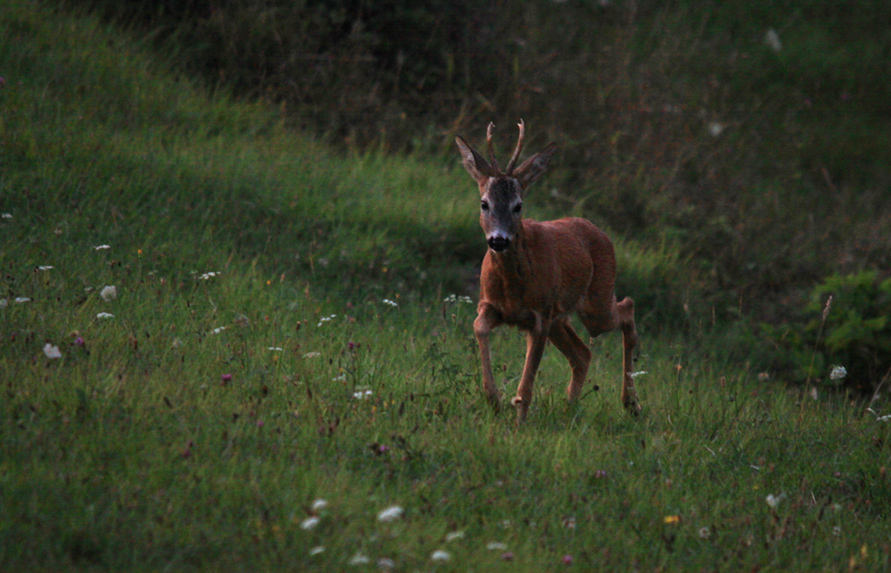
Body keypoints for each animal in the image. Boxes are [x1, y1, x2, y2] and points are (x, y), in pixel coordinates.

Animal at [452, 120, 640, 422]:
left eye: (518, 205)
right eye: (484, 203)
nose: (499, 240)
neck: (513, 287)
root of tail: (600, 232)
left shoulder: (539, 316)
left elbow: (527, 383)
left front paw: (519, 422)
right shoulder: (490, 304)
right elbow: (479, 327)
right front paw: (494, 400)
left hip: (595, 303)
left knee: (627, 310)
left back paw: (631, 403)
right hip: (560, 318)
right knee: (582, 353)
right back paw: (570, 408)